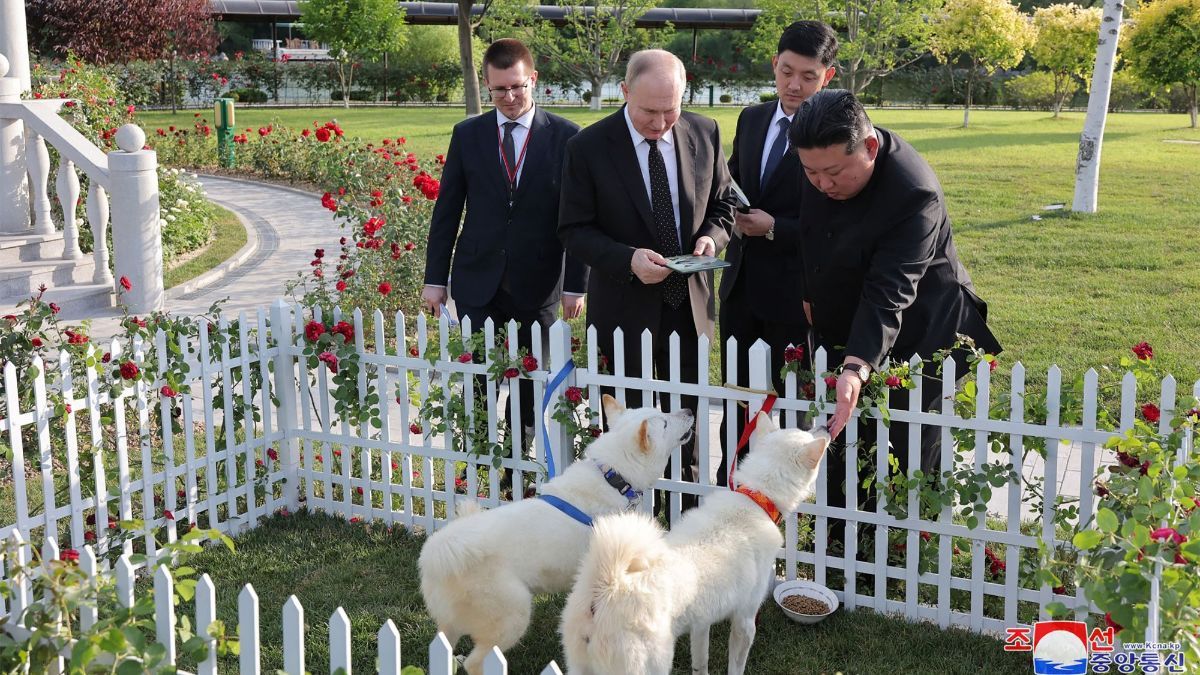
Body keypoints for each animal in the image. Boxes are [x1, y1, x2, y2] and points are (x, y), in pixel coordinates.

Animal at [420, 391, 696, 667]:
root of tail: (437, 553)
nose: (689, 411)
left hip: (453, 623)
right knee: (476, 661)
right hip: (514, 614)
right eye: (665, 422)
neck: (614, 478)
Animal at [559, 410, 825, 672]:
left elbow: (700, 660)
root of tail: (608, 586)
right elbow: (736, 665)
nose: (824, 427)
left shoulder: (702, 622)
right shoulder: (745, 621)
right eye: (807, 433)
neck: (756, 498)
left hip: (579, 665)